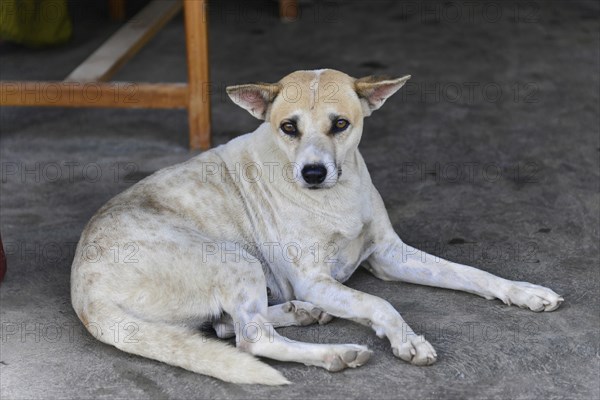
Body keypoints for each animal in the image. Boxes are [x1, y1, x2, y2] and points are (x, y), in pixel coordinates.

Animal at [70, 69, 564, 384]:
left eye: (340, 124)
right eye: (288, 127)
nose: (312, 173)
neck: (334, 196)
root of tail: (85, 296)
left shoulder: (389, 255)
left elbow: (470, 273)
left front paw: (523, 291)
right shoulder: (315, 279)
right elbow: (379, 303)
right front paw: (406, 339)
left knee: (226, 328)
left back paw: (301, 313)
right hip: (236, 260)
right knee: (250, 339)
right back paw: (334, 353)